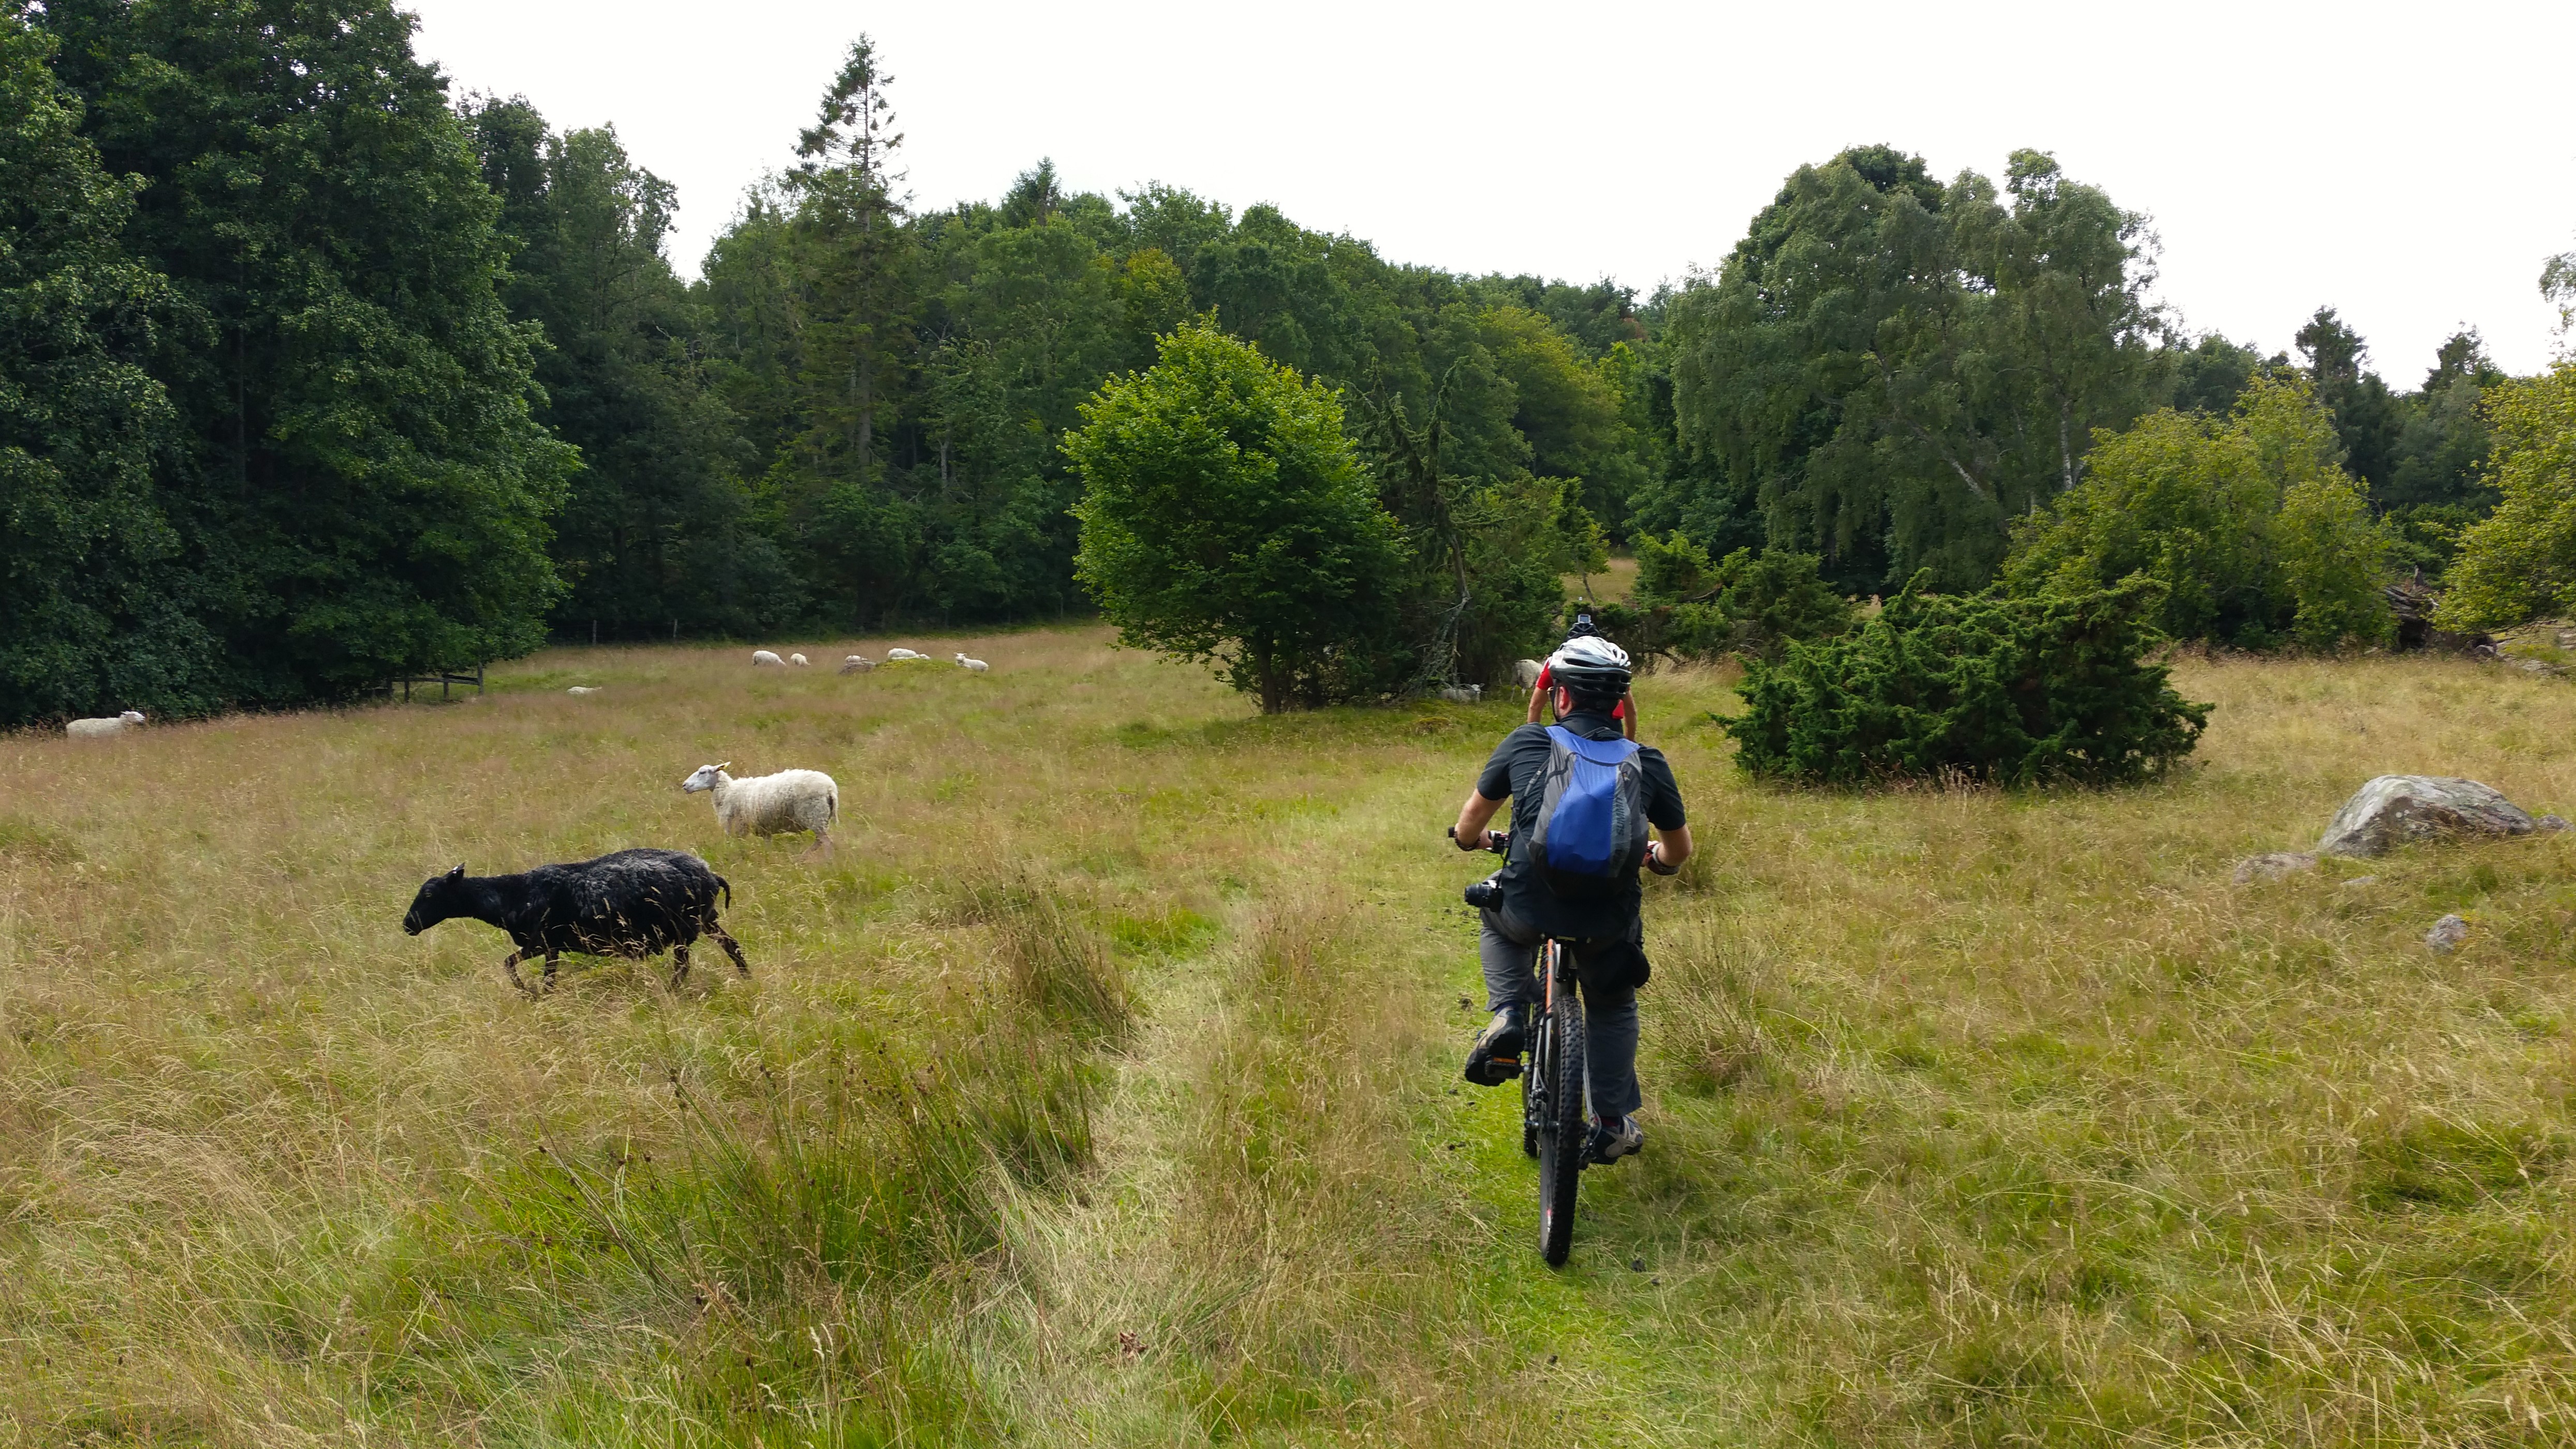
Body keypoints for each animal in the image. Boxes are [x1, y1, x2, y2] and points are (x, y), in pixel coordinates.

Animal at [396, 845, 752, 990]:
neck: (511, 894)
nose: (407, 925)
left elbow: (519, 969)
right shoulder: (548, 947)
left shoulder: (542, 944)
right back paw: (747, 978)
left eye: (429, 895)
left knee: (684, 965)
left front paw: (531, 994)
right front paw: (535, 995)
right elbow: (525, 970)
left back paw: (672, 989)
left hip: (684, 927)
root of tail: (710, 874)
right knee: (731, 946)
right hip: (705, 921)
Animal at [680, 758, 840, 856]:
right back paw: (801, 859)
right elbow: (768, 847)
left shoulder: (738, 828)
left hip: (814, 815)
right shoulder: (765, 829)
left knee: (827, 842)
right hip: (821, 818)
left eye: (702, 772)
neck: (728, 792)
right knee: (820, 841)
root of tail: (830, 789)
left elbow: (737, 847)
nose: (685, 785)